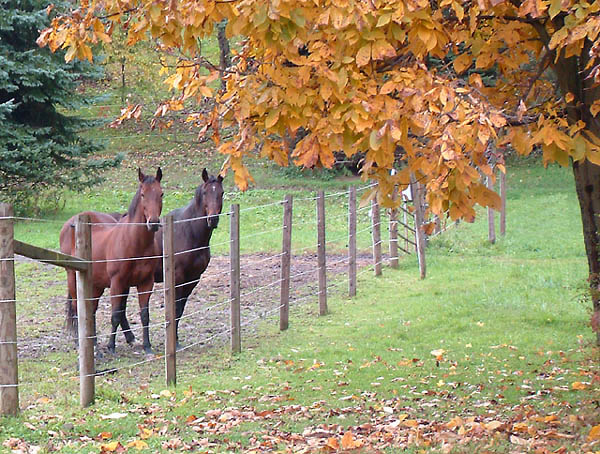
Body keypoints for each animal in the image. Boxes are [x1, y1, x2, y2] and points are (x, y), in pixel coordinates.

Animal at [60, 168, 163, 354]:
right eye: (143, 194)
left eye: (161, 194)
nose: (153, 223)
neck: (135, 243)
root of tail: (70, 223)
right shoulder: (117, 283)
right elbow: (115, 315)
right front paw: (111, 346)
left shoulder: (146, 283)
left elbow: (144, 315)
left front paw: (147, 346)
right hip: (73, 277)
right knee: (78, 308)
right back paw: (81, 343)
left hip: (96, 284)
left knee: (91, 310)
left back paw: (93, 342)